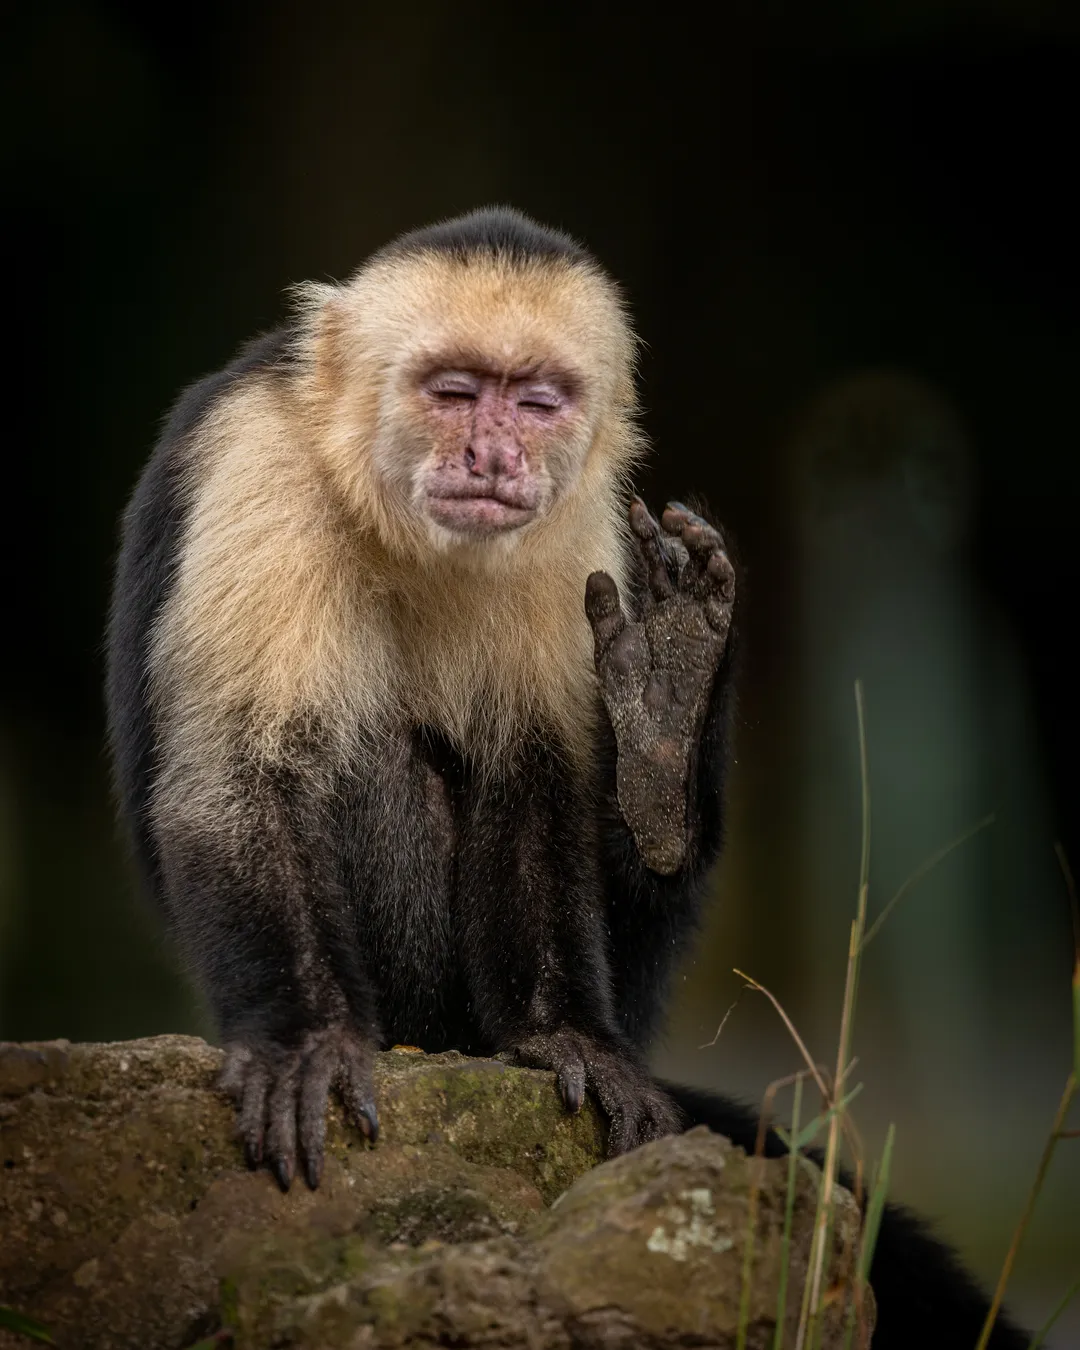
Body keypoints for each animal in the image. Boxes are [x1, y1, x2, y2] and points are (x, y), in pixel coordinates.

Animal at [106, 208, 1028, 1348]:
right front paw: (304, 1037)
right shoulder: (254, 464)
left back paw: (665, 750)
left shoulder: (582, 523)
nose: (494, 453)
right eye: (456, 391)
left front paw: (560, 1035)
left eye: (538, 402)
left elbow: (538, 785)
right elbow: (244, 774)